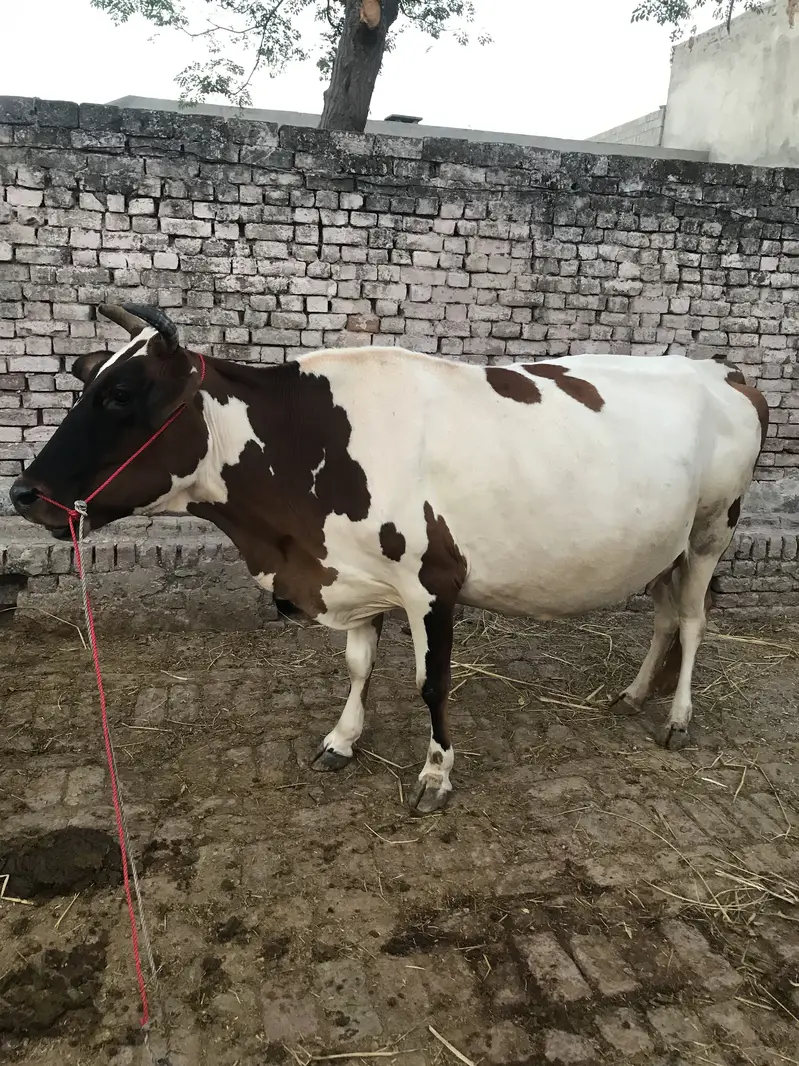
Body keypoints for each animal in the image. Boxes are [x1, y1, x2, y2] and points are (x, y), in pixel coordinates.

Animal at [10, 304, 768, 814]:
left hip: (711, 529)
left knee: (693, 621)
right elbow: (358, 666)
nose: (23, 494)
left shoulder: (432, 584)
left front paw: (435, 774)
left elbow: (431, 684)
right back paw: (634, 694)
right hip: (664, 544)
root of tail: (717, 368)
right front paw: (341, 741)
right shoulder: (353, 573)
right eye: (86, 384)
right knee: (664, 617)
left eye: (120, 395)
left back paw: (676, 718)